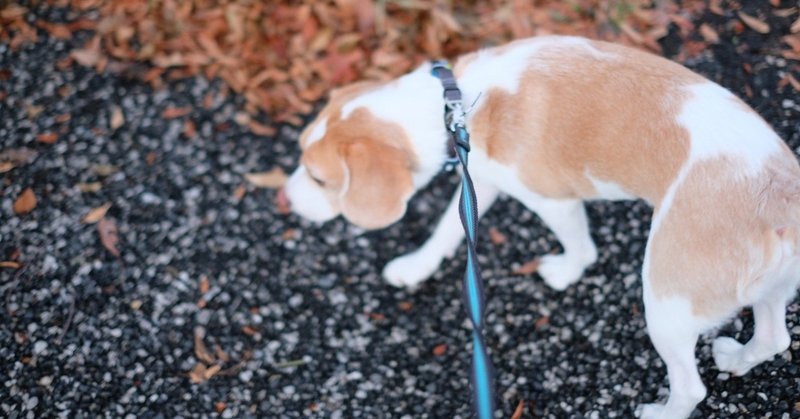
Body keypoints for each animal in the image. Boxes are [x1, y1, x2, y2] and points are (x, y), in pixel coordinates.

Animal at [280, 37, 800, 419]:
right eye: (300, 155)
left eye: (320, 179)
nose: (282, 199)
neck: (456, 100)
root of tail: (780, 199)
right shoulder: (480, 179)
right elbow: (447, 230)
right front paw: (416, 266)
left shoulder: (552, 200)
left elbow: (580, 249)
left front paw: (566, 272)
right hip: (770, 290)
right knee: (775, 338)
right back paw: (737, 359)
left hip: (667, 299)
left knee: (691, 388)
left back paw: (661, 412)